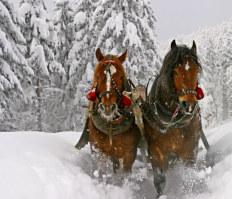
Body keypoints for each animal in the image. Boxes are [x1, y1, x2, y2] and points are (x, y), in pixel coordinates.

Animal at [141, 40, 205, 196]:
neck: (173, 122)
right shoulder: (157, 154)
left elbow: (189, 177)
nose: (189, 104)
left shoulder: (190, 151)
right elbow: (160, 181)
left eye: (197, 71)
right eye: (175, 71)